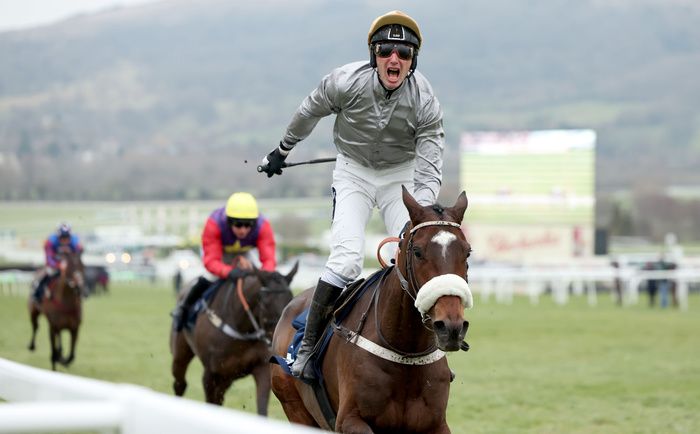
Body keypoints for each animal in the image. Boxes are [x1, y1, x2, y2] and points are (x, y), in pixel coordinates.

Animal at [174, 262, 300, 416]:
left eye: (290, 300)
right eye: (265, 302)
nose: (282, 338)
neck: (241, 328)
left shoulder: (261, 368)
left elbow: (262, 408)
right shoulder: (210, 374)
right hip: (181, 353)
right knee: (180, 383)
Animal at [270, 187, 474, 434]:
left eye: (467, 253)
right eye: (417, 252)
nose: (451, 328)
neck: (405, 351)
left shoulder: (436, 424)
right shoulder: (348, 419)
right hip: (295, 407)